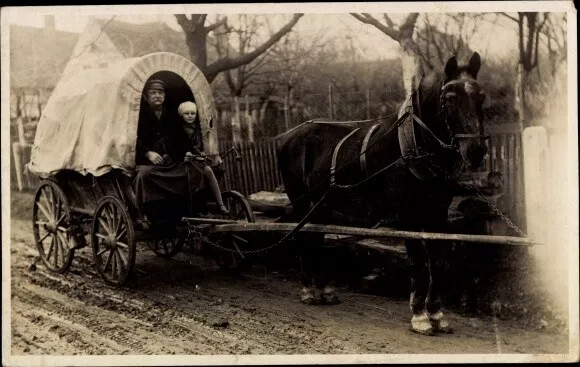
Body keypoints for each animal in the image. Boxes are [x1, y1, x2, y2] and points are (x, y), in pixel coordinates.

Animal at [278, 52, 488, 336]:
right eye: (450, 98)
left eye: (481, 96)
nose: (476, 151)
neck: (414, 146)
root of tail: (289, 135)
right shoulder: (408, 216)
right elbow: (418, 263)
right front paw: (420, 315)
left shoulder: (437, 214)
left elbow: (437, 262)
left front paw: (436, 313)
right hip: (300, 200)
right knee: (304, 238)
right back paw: (308, 290)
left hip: (321, 205)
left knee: (317, 236)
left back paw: (323, 289)